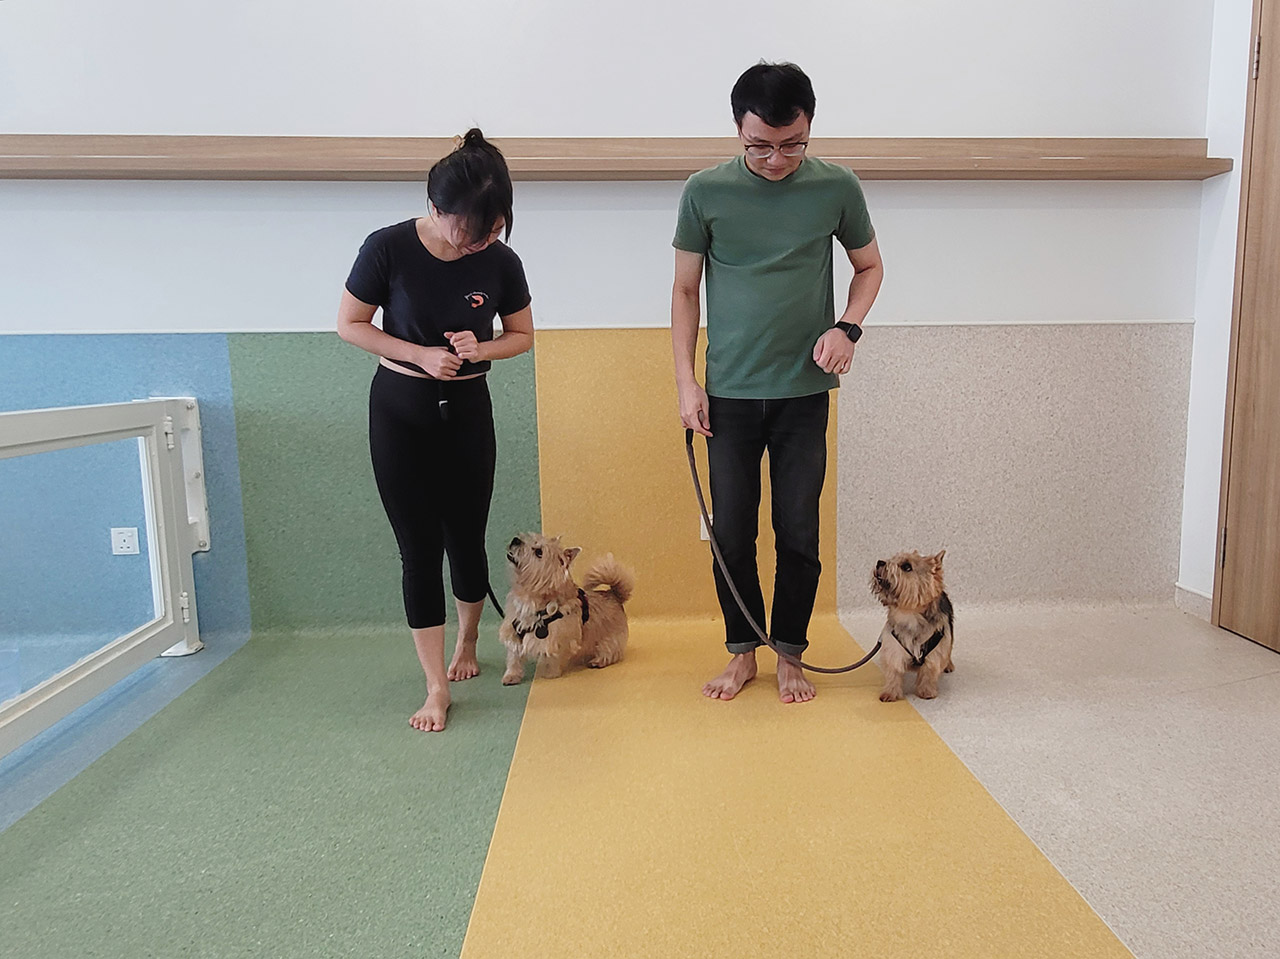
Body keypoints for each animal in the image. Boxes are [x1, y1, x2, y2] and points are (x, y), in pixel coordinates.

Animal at [496, 530, 632, 681]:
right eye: (529, 537)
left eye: (538, 552)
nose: (516, 540)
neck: (529, 595)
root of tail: (613, 594)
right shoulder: (513, 631)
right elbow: (514, 658)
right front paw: (511, 675)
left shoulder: (557, 639)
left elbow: (553, 658)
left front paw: (550, 673)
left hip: (610, 638)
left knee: (611, 651)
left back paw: (598, 661)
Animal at [870, 550, 952, 701]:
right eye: (892, 558)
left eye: (906, 567)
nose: (880, 562)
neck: (909, 614)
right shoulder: (893, 648)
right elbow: (893, 673)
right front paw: (890, 693)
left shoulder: (935, 653)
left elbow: (928, 673)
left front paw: (926, 692)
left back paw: (949, 665)